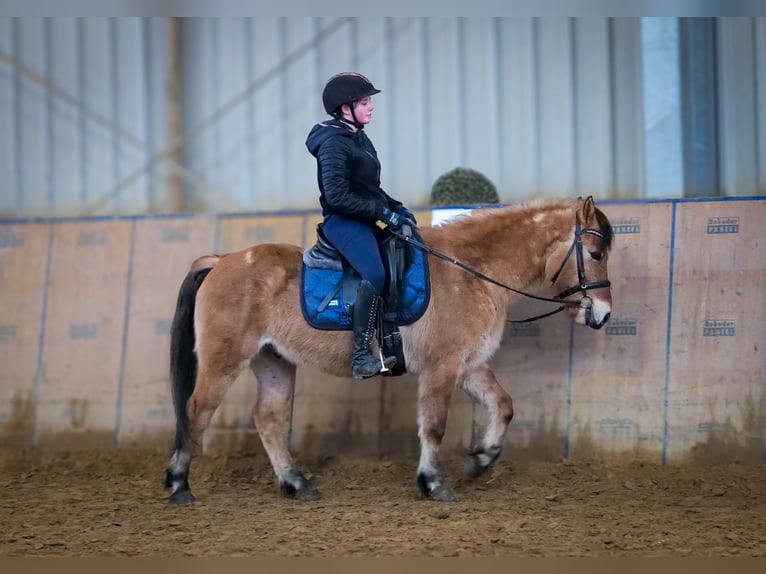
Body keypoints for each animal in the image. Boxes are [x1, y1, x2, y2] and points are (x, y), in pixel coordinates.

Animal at [165, 197, 616, 504]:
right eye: (594, 254)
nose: (603, 314)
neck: (470, 272)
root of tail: (223, 259)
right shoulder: (441, 367)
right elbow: (434, 425)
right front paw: (433, 482)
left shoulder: (469, 366)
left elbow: (502, 406)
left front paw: (480, 460)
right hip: (225, 359)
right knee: (196, 412)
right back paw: (179, 485)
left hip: (273, 361)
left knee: (268, 419)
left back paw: (296, 483)